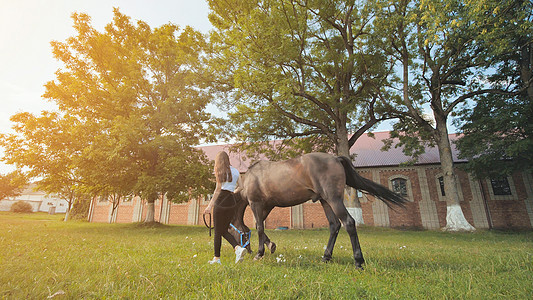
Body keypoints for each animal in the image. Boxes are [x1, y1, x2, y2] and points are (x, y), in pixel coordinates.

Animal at [231, 154, 406, 268]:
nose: (244, 251)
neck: (250, 177)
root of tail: (336, 158)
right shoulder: (267, 206)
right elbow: (258, 227)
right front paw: (271, 246)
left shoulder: (256, 204)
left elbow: (259, 228)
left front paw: (259, 253)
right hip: (325, 201)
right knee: (334, 225)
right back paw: (326, 257)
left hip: (334, 200)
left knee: (348, 223)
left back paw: (358, 261)